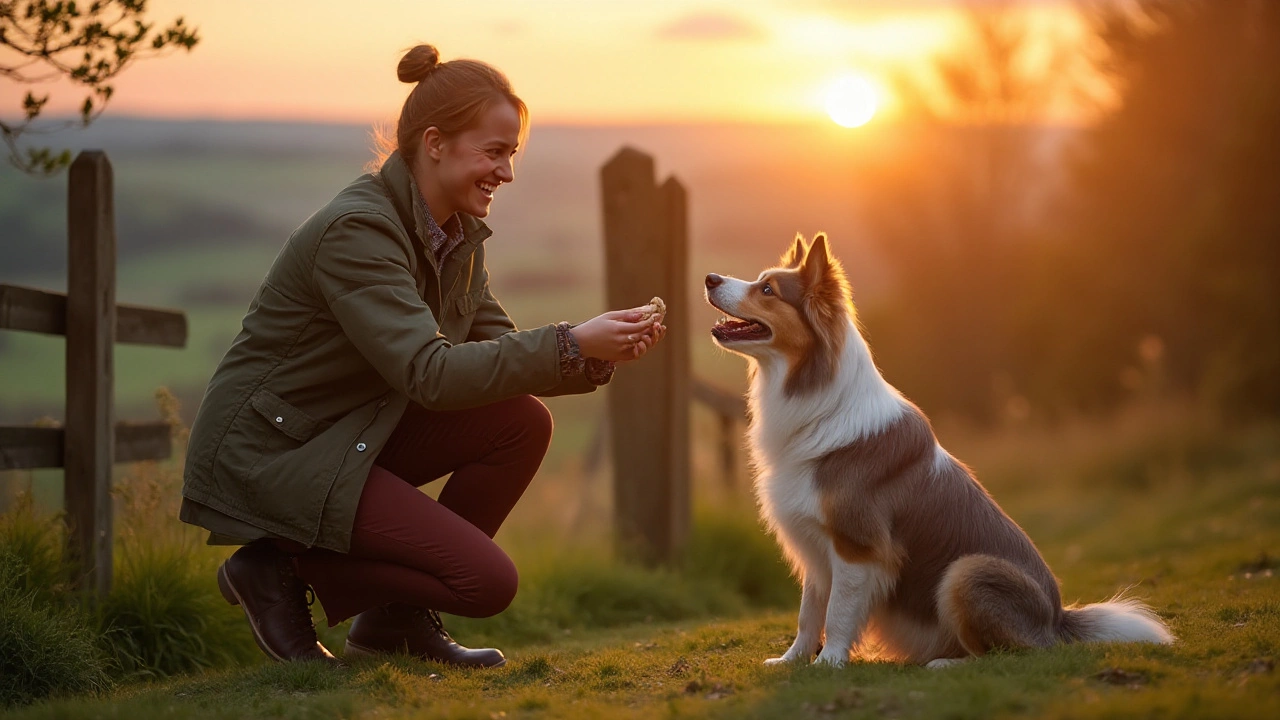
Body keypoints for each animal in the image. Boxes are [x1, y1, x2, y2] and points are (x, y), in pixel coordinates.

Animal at [706, 233, 1172, 666]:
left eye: (768, 289)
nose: (710, 278)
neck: (814, 395)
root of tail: (1057, 619)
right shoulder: (816, 547)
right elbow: (809, 612)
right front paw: (792, 661)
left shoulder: (857, 543)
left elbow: (838, 612)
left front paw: (830, 662)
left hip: (966, 571)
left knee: (1010, 653)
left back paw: (945, 663)